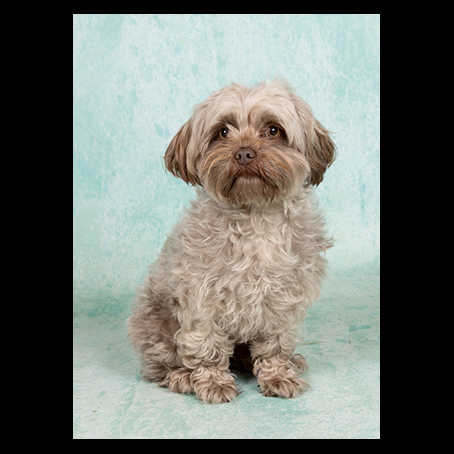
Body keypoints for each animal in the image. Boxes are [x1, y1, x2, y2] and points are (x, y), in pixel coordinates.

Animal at [127, 79, 336, 403]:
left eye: (273, 130)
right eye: (223, 132)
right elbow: (205, 343)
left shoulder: (284, 297)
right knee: (162, 361)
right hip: (155, 320)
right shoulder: (202, 296)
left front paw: (278, 374)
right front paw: (212, 380)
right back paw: (181, 375)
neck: (255, 216)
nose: (244, 153)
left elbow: (276, 343)